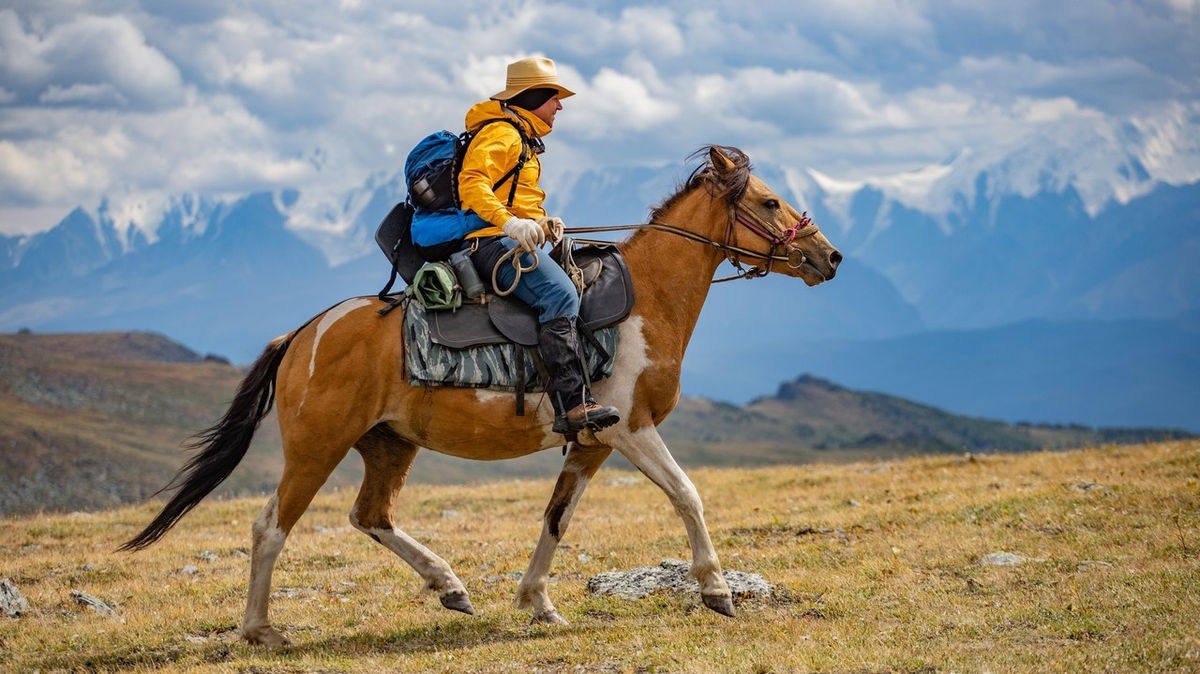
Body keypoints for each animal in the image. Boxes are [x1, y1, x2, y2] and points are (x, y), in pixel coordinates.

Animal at [117, 144, 840, 642]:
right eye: (769, 202)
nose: (829, 257)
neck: (646, 302)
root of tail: (302, 334)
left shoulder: (591, 440)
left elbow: (556, 518)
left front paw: (537, 602)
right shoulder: (629, 429)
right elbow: (687, 494)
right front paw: (717, 590)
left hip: (388, 444)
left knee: (371, 516)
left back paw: (451, 587)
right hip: (316, 448)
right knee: (271, 526)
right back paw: (260, 629)